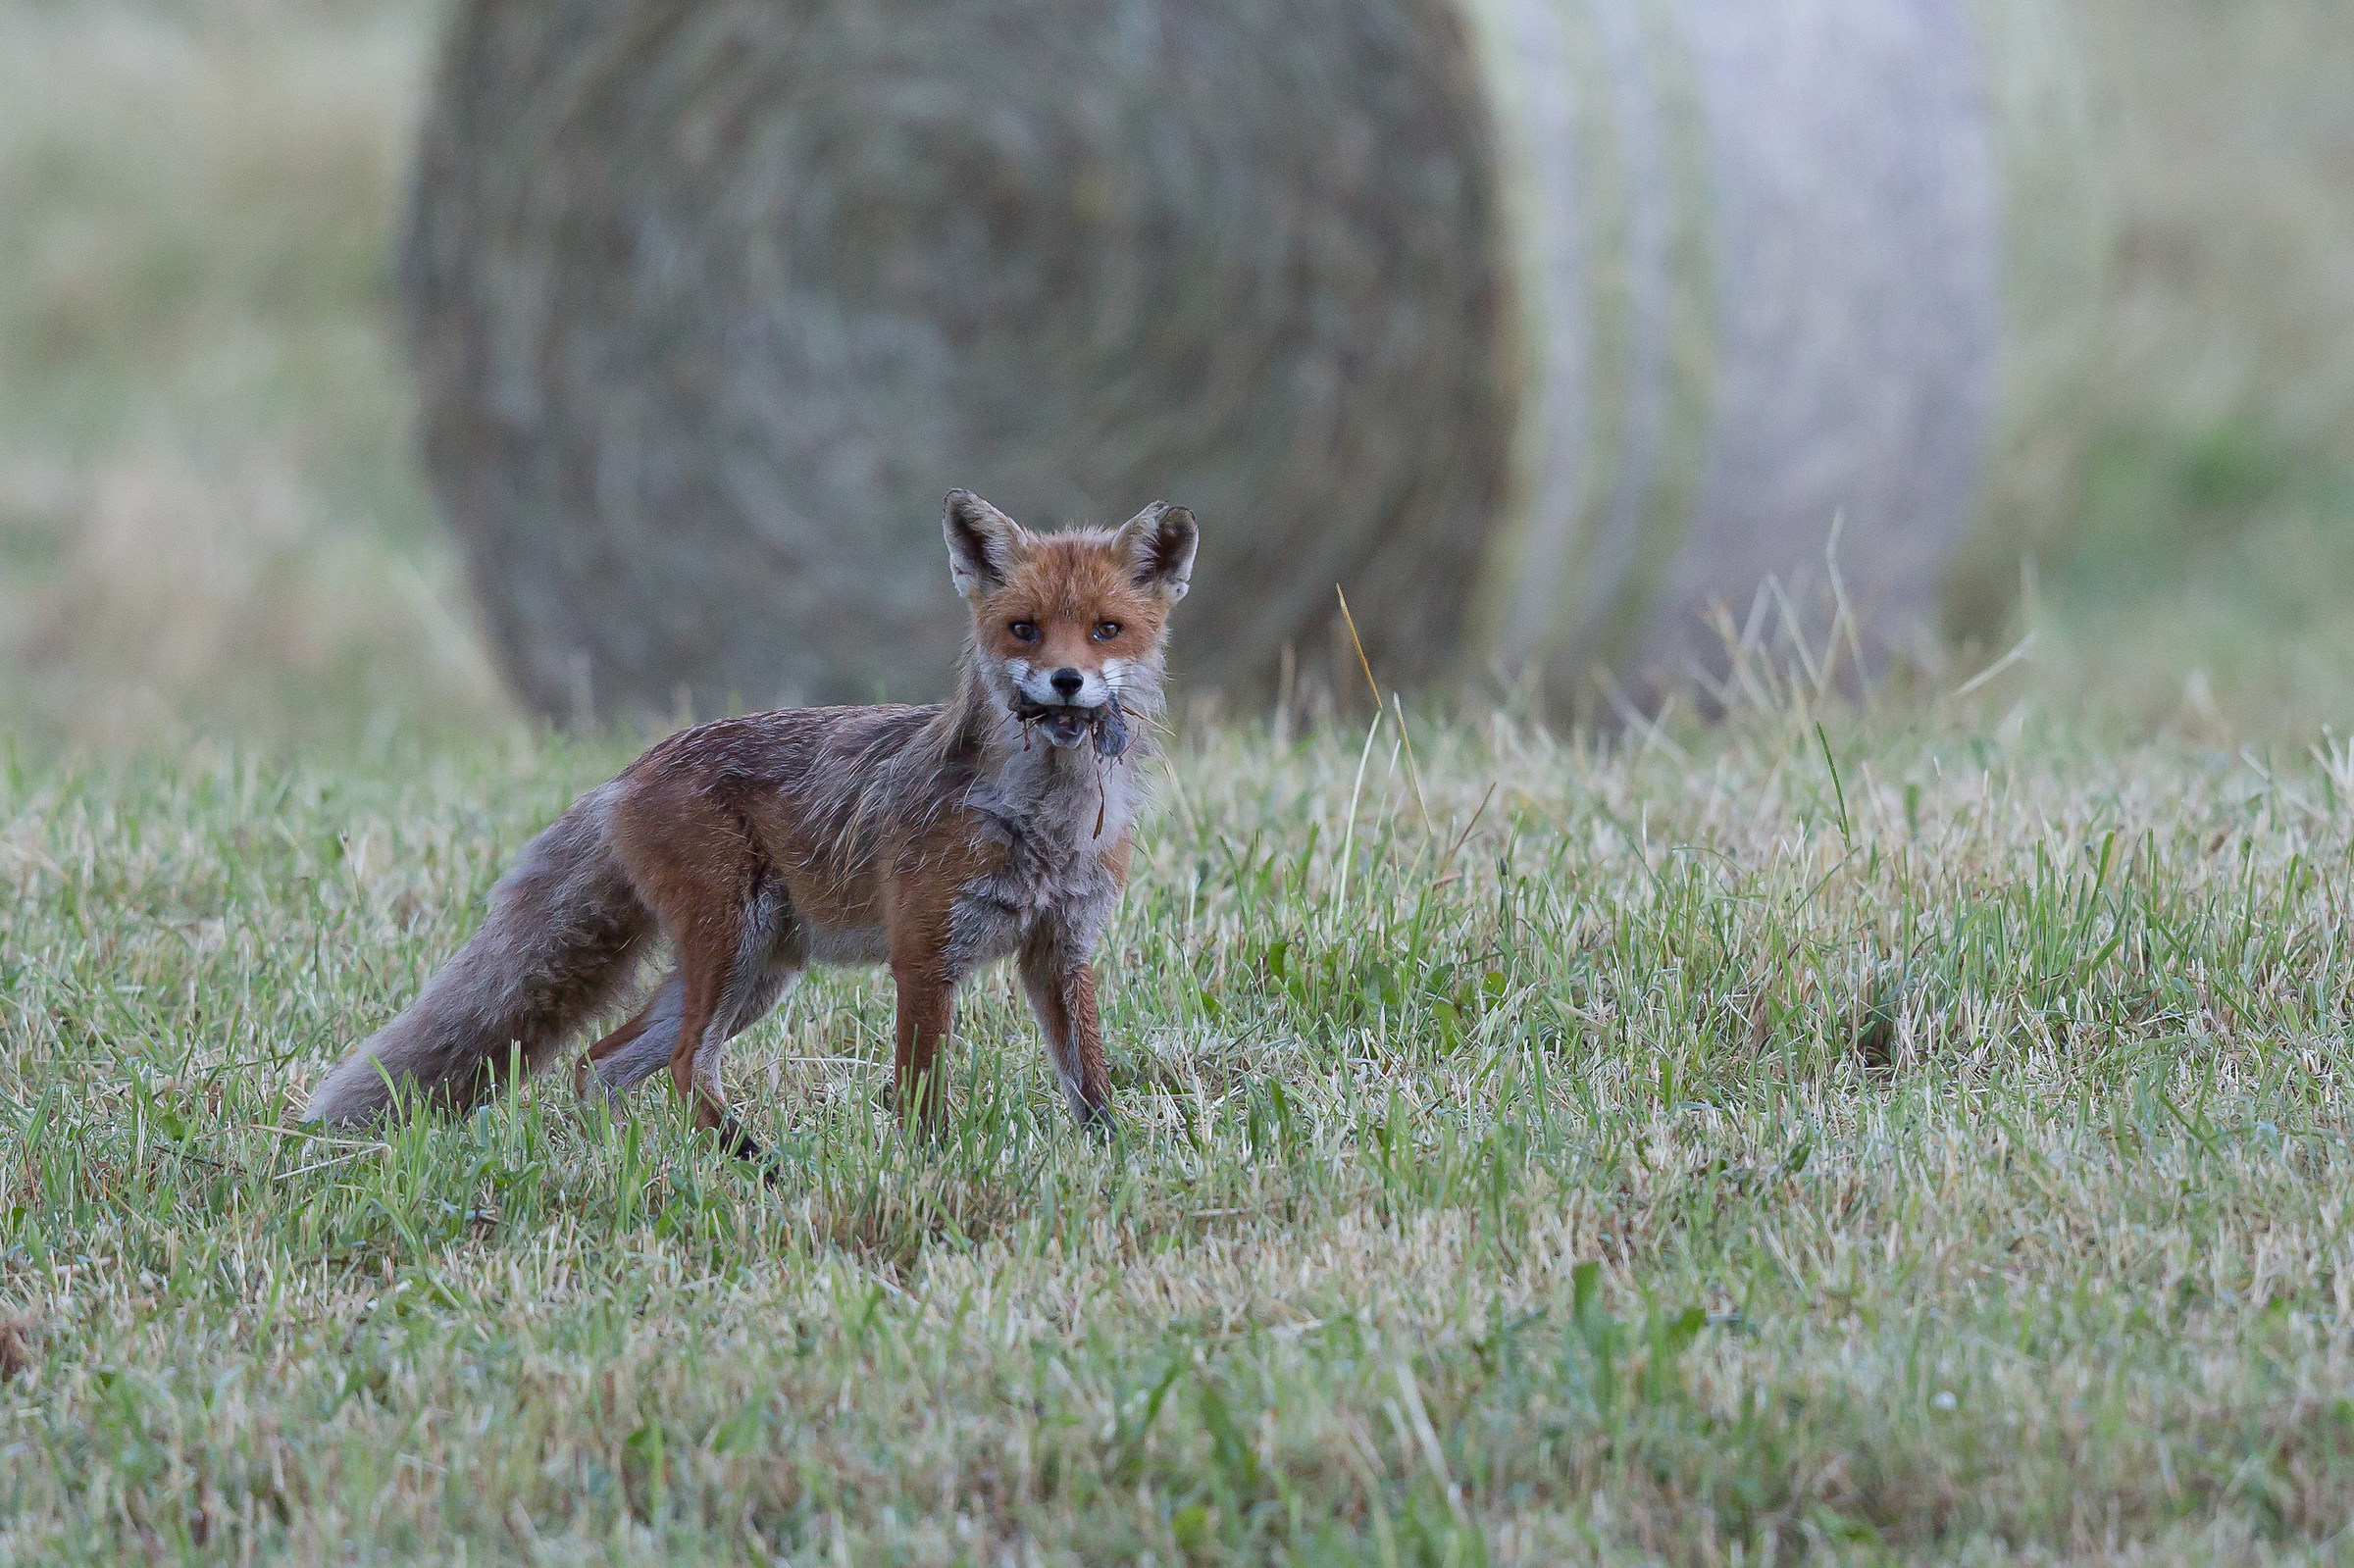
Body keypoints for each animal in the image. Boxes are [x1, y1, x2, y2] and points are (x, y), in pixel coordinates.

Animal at [303, 489, 1197, 1154]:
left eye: (1106, 629)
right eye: (1024, 628)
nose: (1066, 680)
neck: (1045, 822)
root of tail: (625, 773)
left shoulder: (1062, 951)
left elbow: (1090, 1083)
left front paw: (1114, 1158)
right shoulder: (924, 953)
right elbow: (920, 1091)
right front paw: (927, 1167)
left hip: (757, 969)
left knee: (603, 1060)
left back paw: (625, 1162)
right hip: (732, 947)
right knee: (677, 1063)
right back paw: (747, 1157)